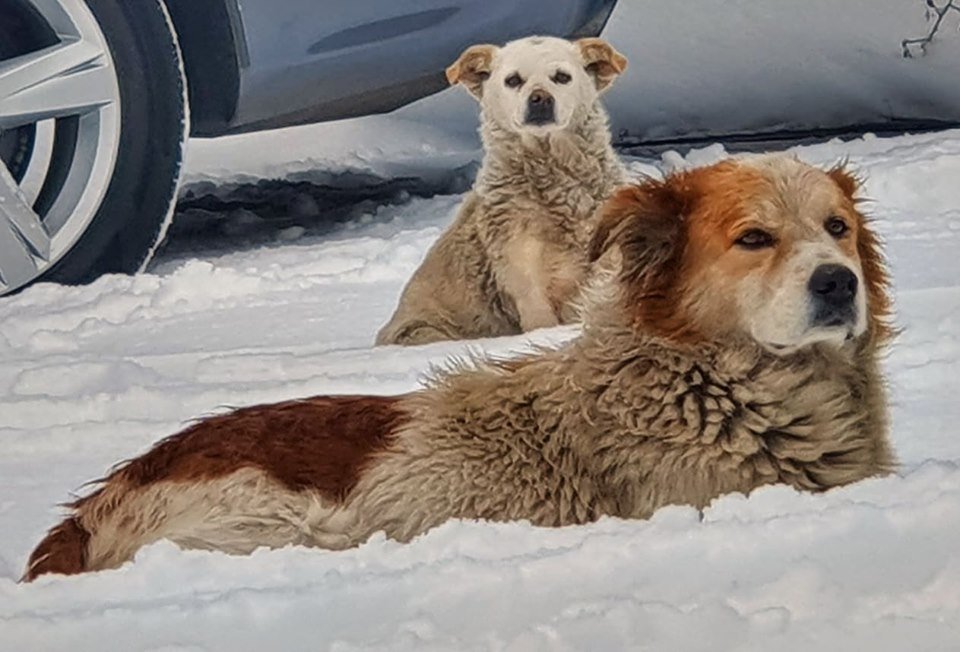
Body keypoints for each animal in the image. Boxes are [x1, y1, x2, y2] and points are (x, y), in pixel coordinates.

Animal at [22, 157, 892, 580]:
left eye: (837, 229)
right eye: (754, 238)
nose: (837, 283)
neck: (703, 382)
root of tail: (98, 500)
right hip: (285, 526)